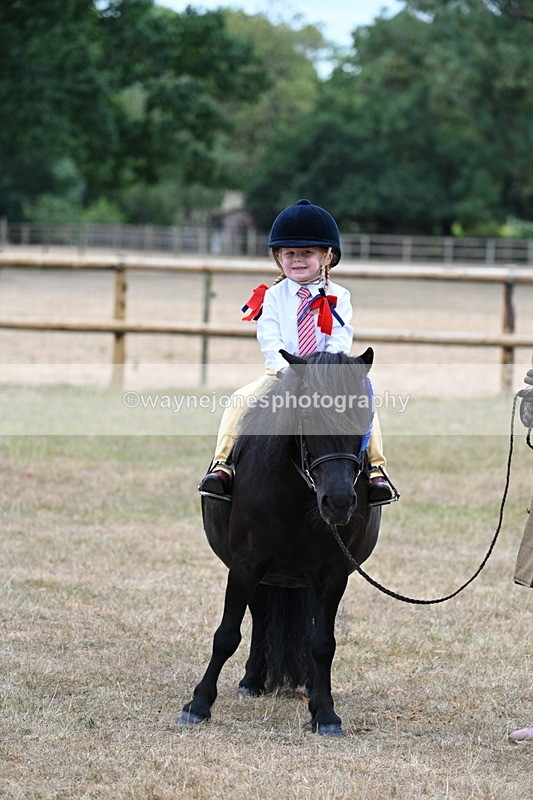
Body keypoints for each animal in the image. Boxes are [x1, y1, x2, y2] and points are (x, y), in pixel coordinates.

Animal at [180, 347, 381, 737]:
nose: (338, 502)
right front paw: (198, 705)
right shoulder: (244, 567)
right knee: (259, 616)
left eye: (364, 417)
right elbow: (226, 635)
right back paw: (252, 680)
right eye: (308, 414)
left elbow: (323, 643)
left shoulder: (333, 575)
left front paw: (325, 713)